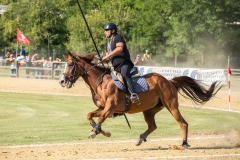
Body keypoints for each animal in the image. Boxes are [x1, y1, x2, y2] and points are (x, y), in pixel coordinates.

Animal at [59, 50, 223, 148]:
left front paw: (96, 131)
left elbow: (99, 119)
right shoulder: (104, 109)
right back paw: (140, 138)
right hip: (149, 110)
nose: (62, 81)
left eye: (70, 64)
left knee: (183, 123)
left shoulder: (110, 108)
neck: (101, 82)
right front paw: (101, 131)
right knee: (153, 126)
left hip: (172, 106)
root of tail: (169, 81)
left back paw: (184, 143)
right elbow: (90, 116)